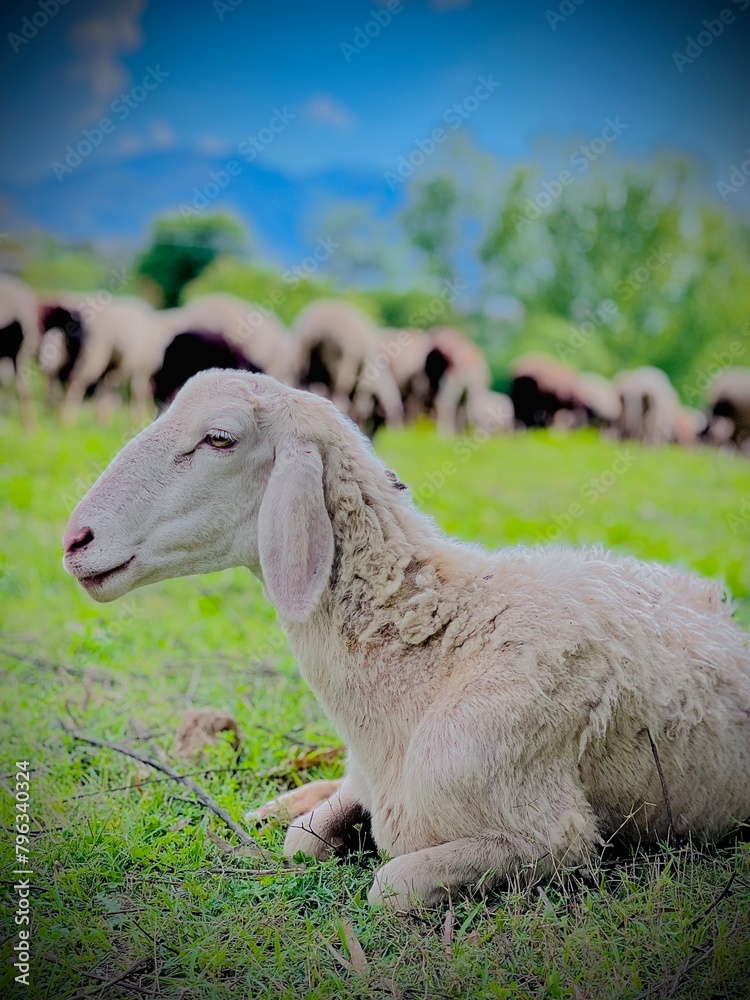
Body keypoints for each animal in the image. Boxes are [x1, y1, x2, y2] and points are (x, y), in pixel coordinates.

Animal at [62, 370, 750, 911]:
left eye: (220, 438)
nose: (75, 540)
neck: (436, 646)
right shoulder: (372, 783)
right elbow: (303, 841)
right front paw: (295, 815)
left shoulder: (554, 838)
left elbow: (388, 886)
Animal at [292, 299, 403, 434]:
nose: (398, 433)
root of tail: (318, 331)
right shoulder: (363, 385)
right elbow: (360, 410)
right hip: (340, 366)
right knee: (340, 400)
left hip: (303, 362)